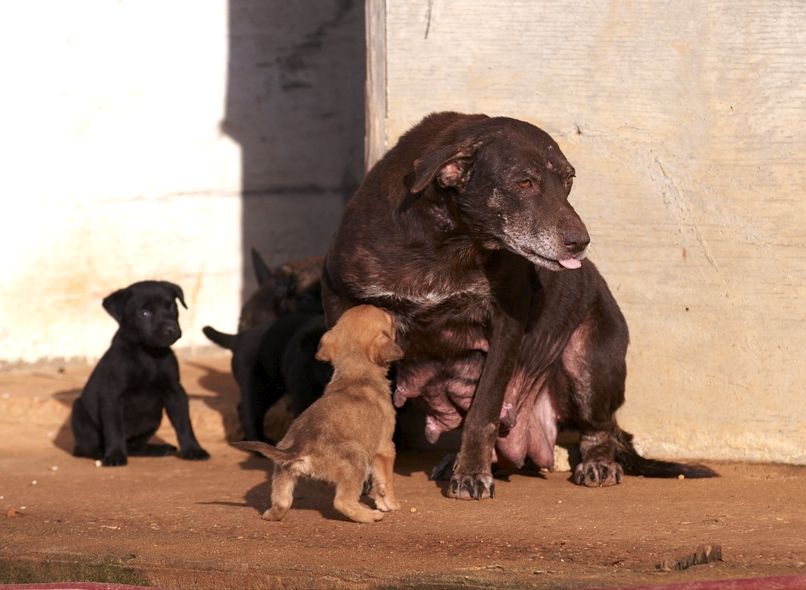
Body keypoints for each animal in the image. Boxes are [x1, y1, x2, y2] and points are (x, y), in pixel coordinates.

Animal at [70, 282, 210, 468]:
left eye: (171, 307)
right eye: (144, 313)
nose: (171, 329)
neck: (148, 354)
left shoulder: (175, 392)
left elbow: (184, 424)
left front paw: (193, 449)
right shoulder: (112, 396)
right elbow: (114, 429)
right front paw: (114, 455)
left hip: (153, 418)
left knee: (134, 446)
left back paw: (158, 449)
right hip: (79, 412)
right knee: (86, 447)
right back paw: (102, 453)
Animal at [234, 308, 404, 524]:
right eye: (390, 319)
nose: (394, 311)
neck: (355, 377)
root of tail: (299, 448)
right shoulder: (385, 448)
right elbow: (385, 481)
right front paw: (390, 505)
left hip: (282, 472)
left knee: (282, 502)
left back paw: (271, 515)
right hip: (357, 460)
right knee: (343, 502)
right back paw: (368, 515)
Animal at [322, 111, 712, 500]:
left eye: (568, 180)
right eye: (524, 182)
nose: (580, 243)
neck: (449, 241)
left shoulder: (506, 324)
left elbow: (483, 413)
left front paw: (472, 474)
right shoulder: (340, 297)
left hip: (590, 361)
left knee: (599, 427)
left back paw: (597, 463)